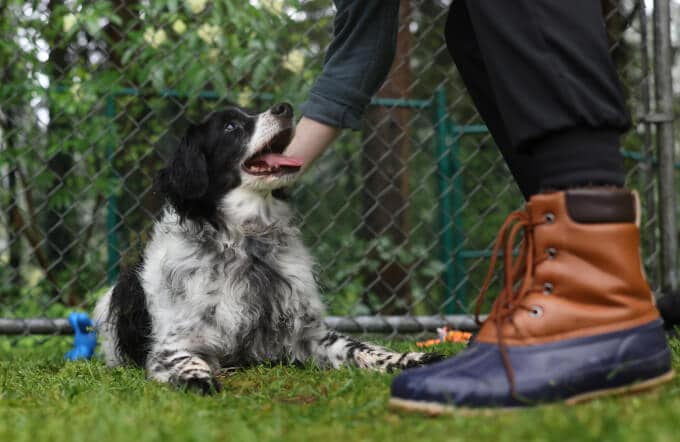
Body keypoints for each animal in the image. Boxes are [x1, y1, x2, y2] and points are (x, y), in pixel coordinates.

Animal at [93, 103, 444, 394]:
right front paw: (198, 380)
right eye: (231, 127)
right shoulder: (175, 344)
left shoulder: (308, 335)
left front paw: (408, 359)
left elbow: (360, 348)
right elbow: (185, 361)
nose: (285, 107)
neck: (246, 244)